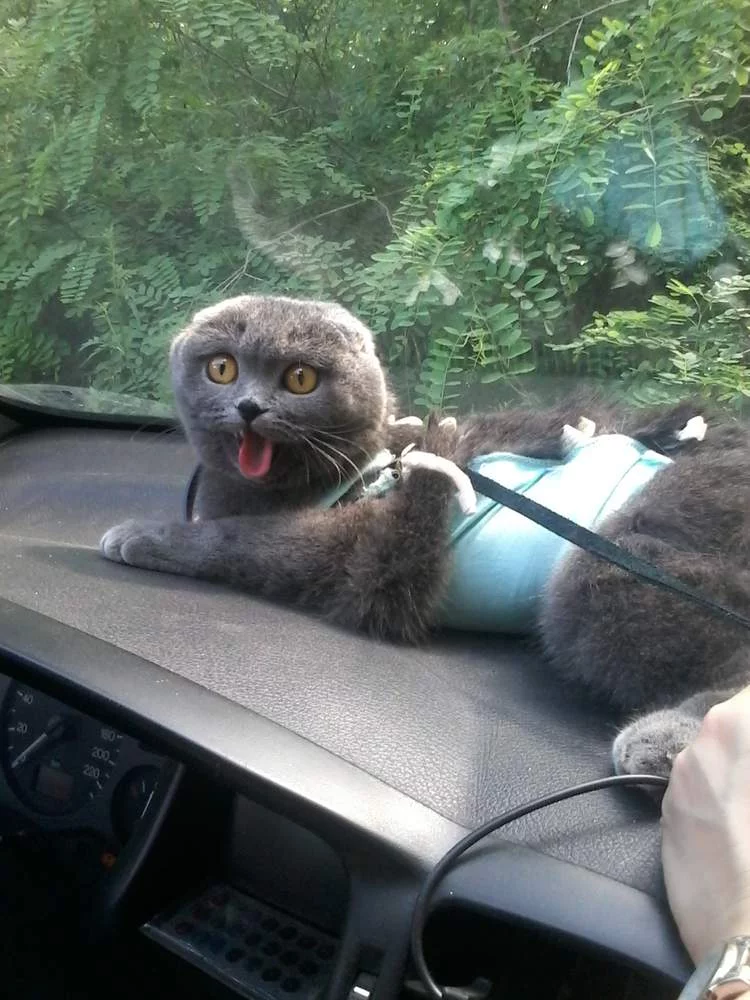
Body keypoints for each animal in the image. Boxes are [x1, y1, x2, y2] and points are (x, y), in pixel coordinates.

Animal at [99, 294, 750, 779]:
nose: (249, 407)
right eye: (222, 368)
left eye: (300, 378)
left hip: (626, 556)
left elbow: (241, 541)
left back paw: (666, 743)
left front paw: (141, 535)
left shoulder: (356, 549)